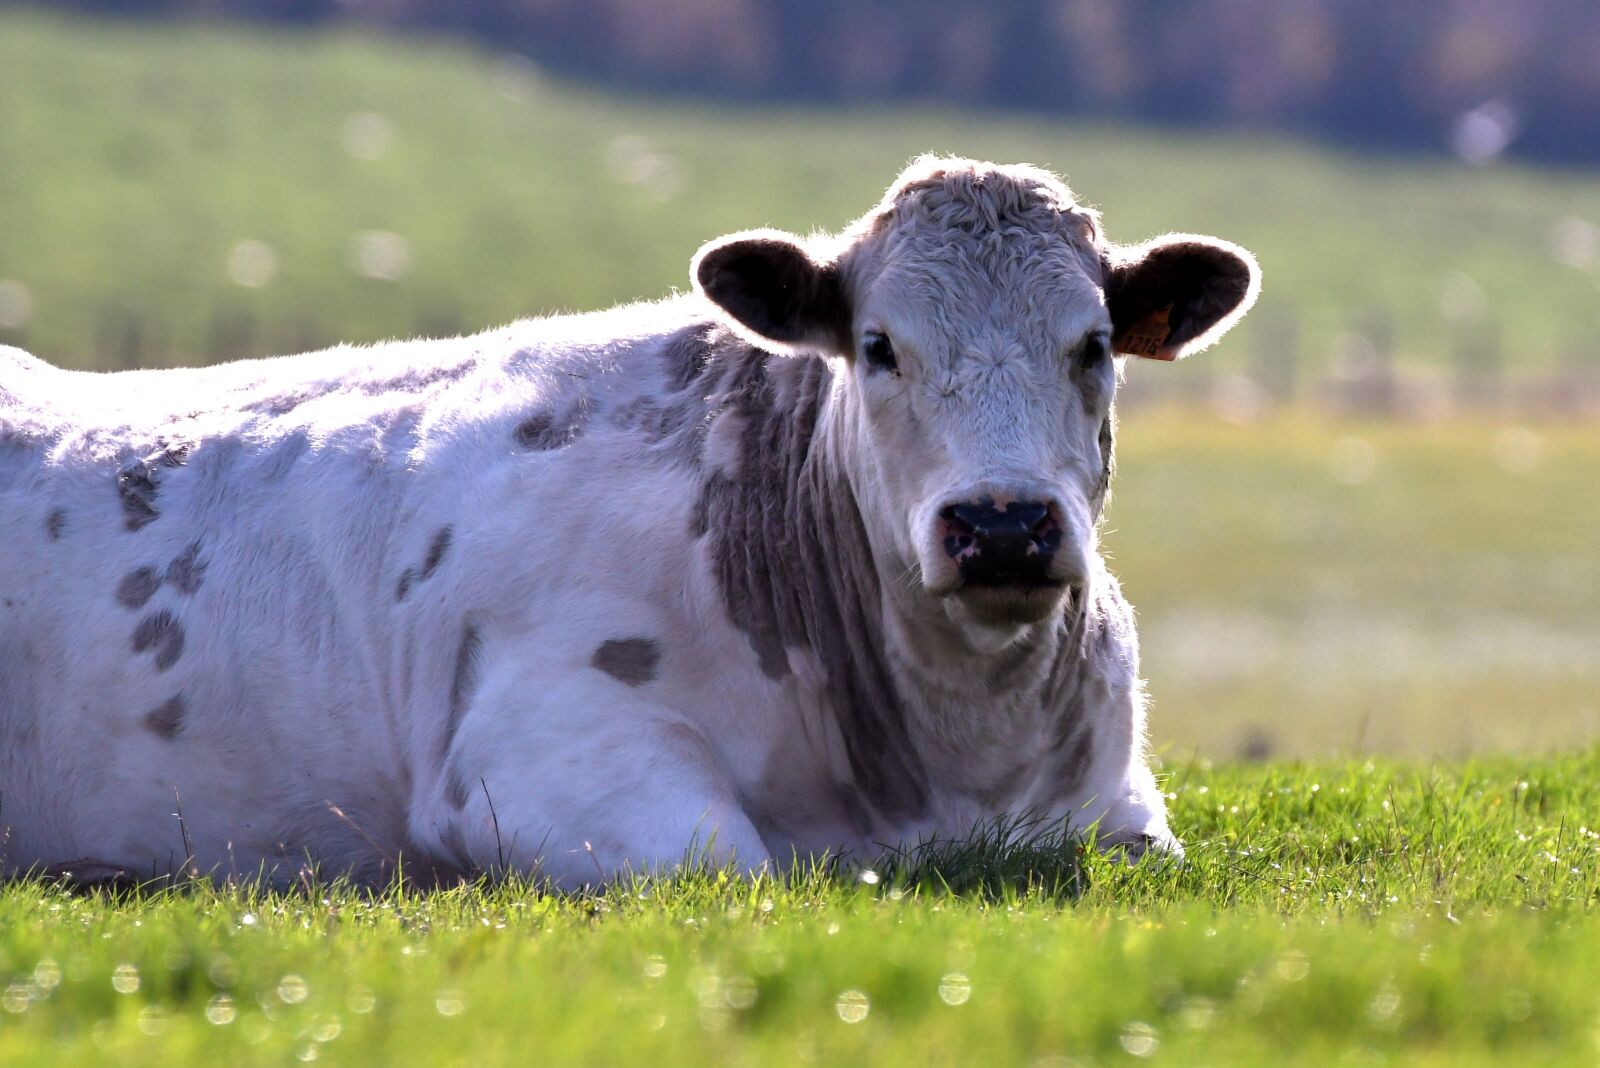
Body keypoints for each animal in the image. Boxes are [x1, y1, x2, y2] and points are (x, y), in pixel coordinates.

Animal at [0, 156, 1259, 889]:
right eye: (878, 346)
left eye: (1091, 344)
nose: (1001, 525)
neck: (947, 767)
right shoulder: (540, 750)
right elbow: (737, 868)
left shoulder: (1119, 804)